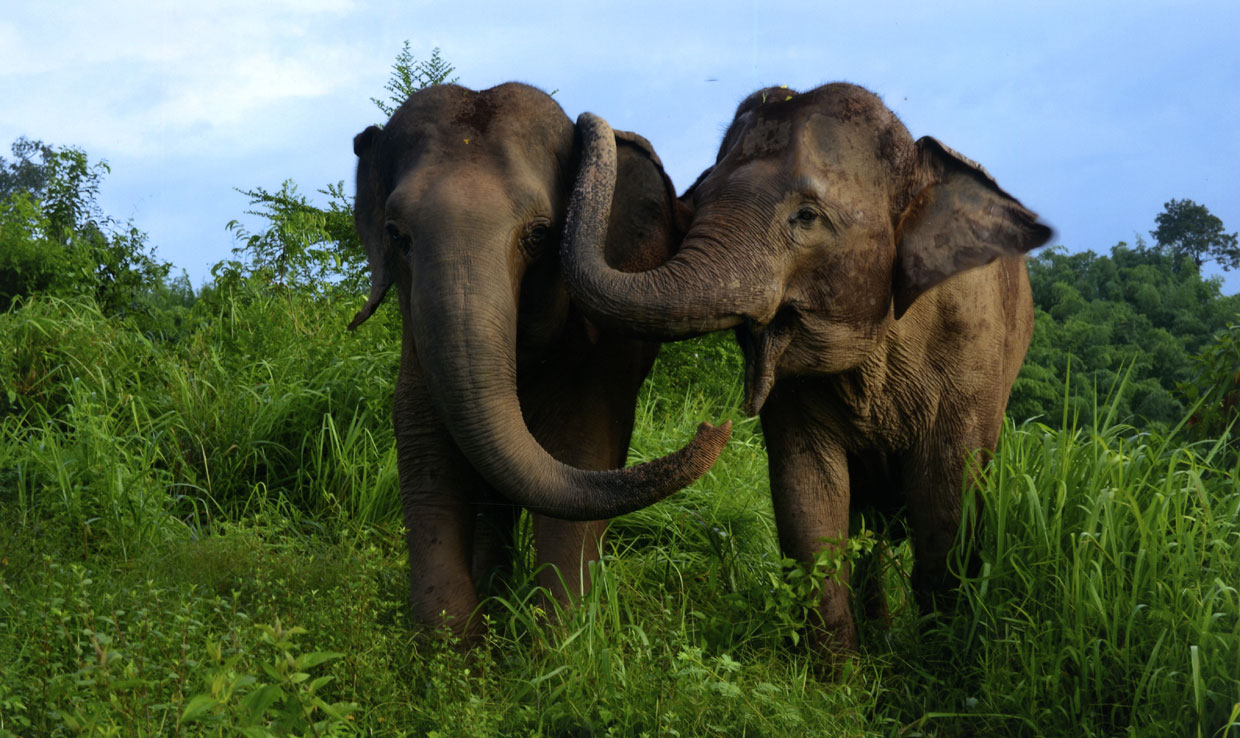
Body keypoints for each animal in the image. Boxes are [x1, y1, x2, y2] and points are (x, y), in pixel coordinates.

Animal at [349, 79, 729, 635]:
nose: (713, 426)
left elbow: (581, 445)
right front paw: (452, 645)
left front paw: (561, 641)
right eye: (397, 235)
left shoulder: (596, 346)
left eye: (539, 234)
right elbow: (425, 440)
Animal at [562, 83, 1046, 654]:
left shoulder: (971, 351)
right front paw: (841, 673)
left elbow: (947, 506)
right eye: (697, 201)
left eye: (807, 216)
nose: (604, 125)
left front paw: (938, 659)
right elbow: (808, 497)